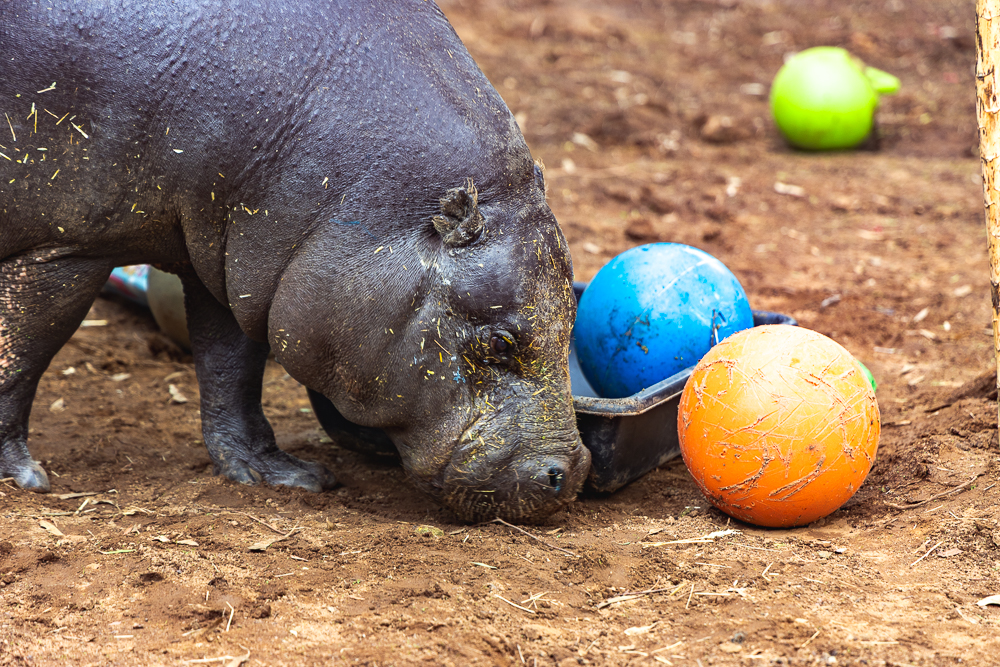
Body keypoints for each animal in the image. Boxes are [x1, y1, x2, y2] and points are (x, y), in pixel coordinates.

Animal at [0, 0, 591, 522]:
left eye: (572, 324)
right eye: (502, 342)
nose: (572, 474)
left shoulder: (229, 266)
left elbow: (232, 372)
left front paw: (284, 476)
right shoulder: (67, 248)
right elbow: (22, 352)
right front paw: (25, 477)